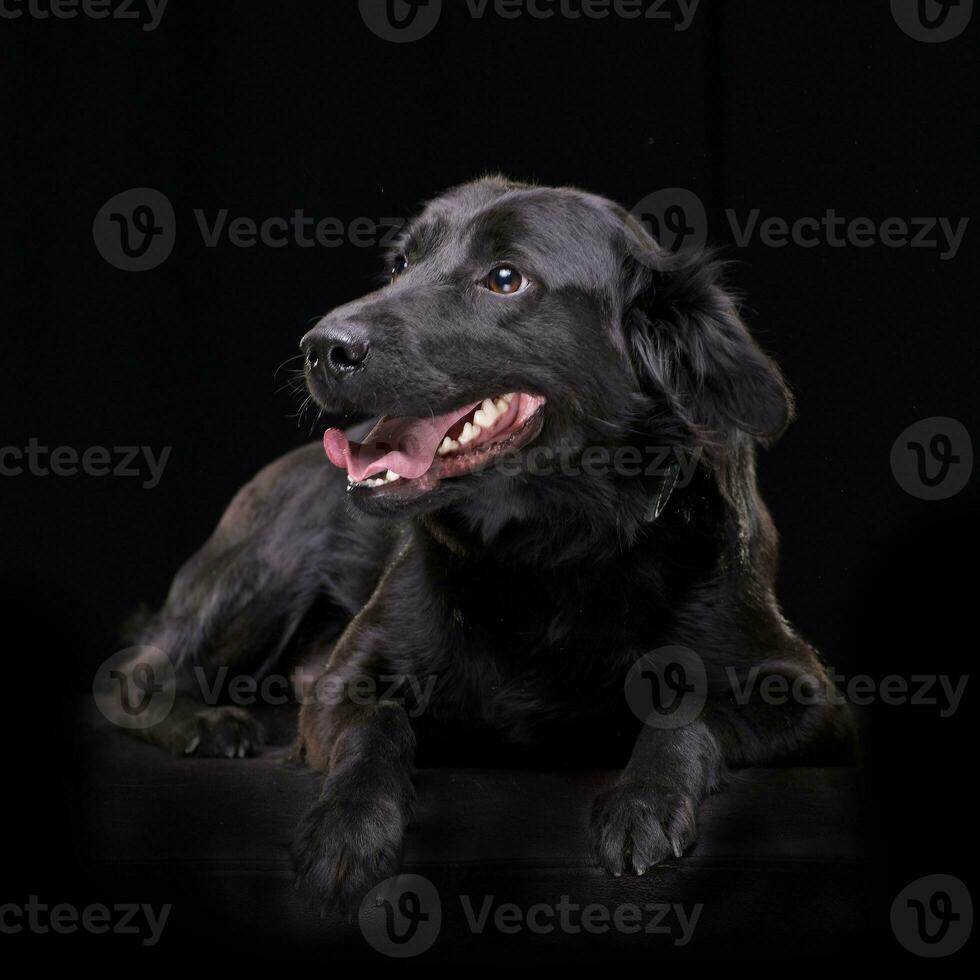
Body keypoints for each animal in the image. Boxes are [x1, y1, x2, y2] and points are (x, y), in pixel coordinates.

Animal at [124, 176, 856, 912]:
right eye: (401, 264)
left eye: (505, 279)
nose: (319, 347)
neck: (548, 557)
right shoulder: (337, 683)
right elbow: (378, 723)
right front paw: (346, 825)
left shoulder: (810, 696)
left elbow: (690, 710)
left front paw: (645, 800)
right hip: (268, 568)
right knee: (135, 670)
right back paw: (209, 724)